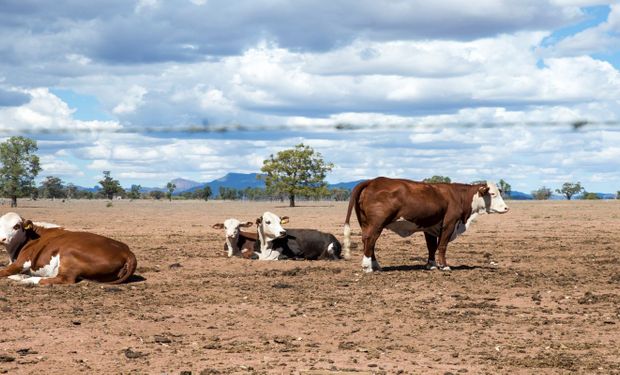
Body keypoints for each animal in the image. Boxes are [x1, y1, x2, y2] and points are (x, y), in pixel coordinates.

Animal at [0, 213, 136, 286]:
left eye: (16, 226)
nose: (2, 239)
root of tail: (127, 251)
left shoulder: (22, 262)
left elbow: (3, 271)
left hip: (68, 253)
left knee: (65, 279)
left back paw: (29, 280)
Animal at [344, 178, 508, 274]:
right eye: (492, 194)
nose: (506, 208)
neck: (458, 196)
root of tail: (372, 181)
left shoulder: (430, 227)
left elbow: (431, 247)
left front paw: (432, 265)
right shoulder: (449, 224)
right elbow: (442, 246)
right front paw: (444, 266)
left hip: (366, 223)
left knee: (367, 242)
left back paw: (376, 265)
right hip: (377, 224)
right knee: (370, 240)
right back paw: (367, 267)